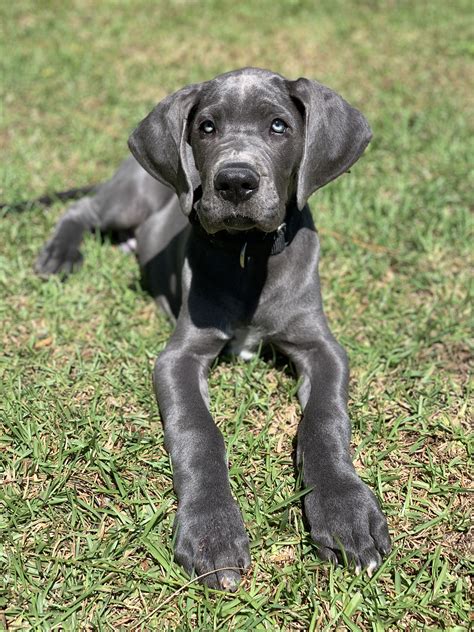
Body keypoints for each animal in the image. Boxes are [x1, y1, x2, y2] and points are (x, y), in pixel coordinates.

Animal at [37, 66, 390, 592]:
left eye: (279, 126)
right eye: (206, 128)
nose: (235, 182)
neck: (248, 255)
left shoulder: (321, 346)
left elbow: (325, 419)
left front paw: (345, 509)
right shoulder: (180, 355)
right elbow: (197, 431)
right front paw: (212, 529)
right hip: (131, 197)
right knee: (81, 210)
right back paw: (60, 254)